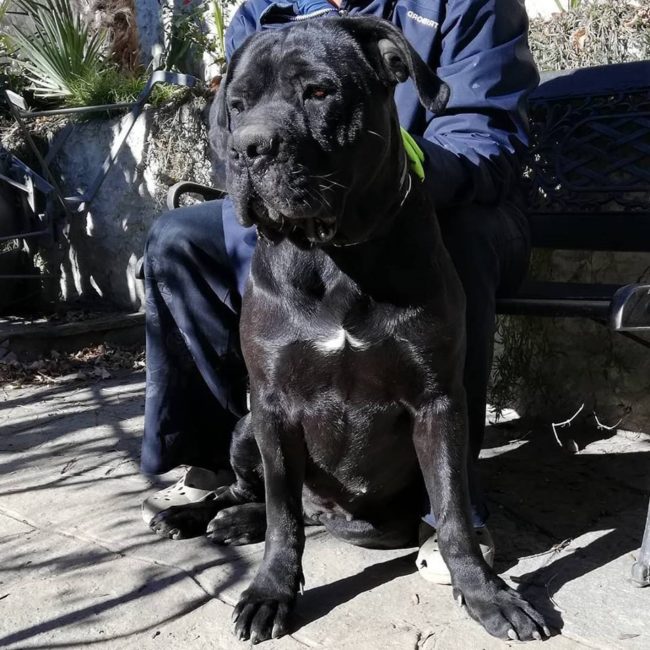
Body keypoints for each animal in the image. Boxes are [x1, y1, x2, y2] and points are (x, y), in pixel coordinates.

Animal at [152, 15, 548, 644]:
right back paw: (199, 513)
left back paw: (235, 522)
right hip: (244, 427)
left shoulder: (438, 403)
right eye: (237, 105)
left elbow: (453, 515)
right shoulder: (273, 405)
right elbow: (283, 518)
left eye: (319, 91)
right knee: (258, 493)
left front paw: (486, 595)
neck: (333, 256)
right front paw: (270, 592)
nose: (246, 147)